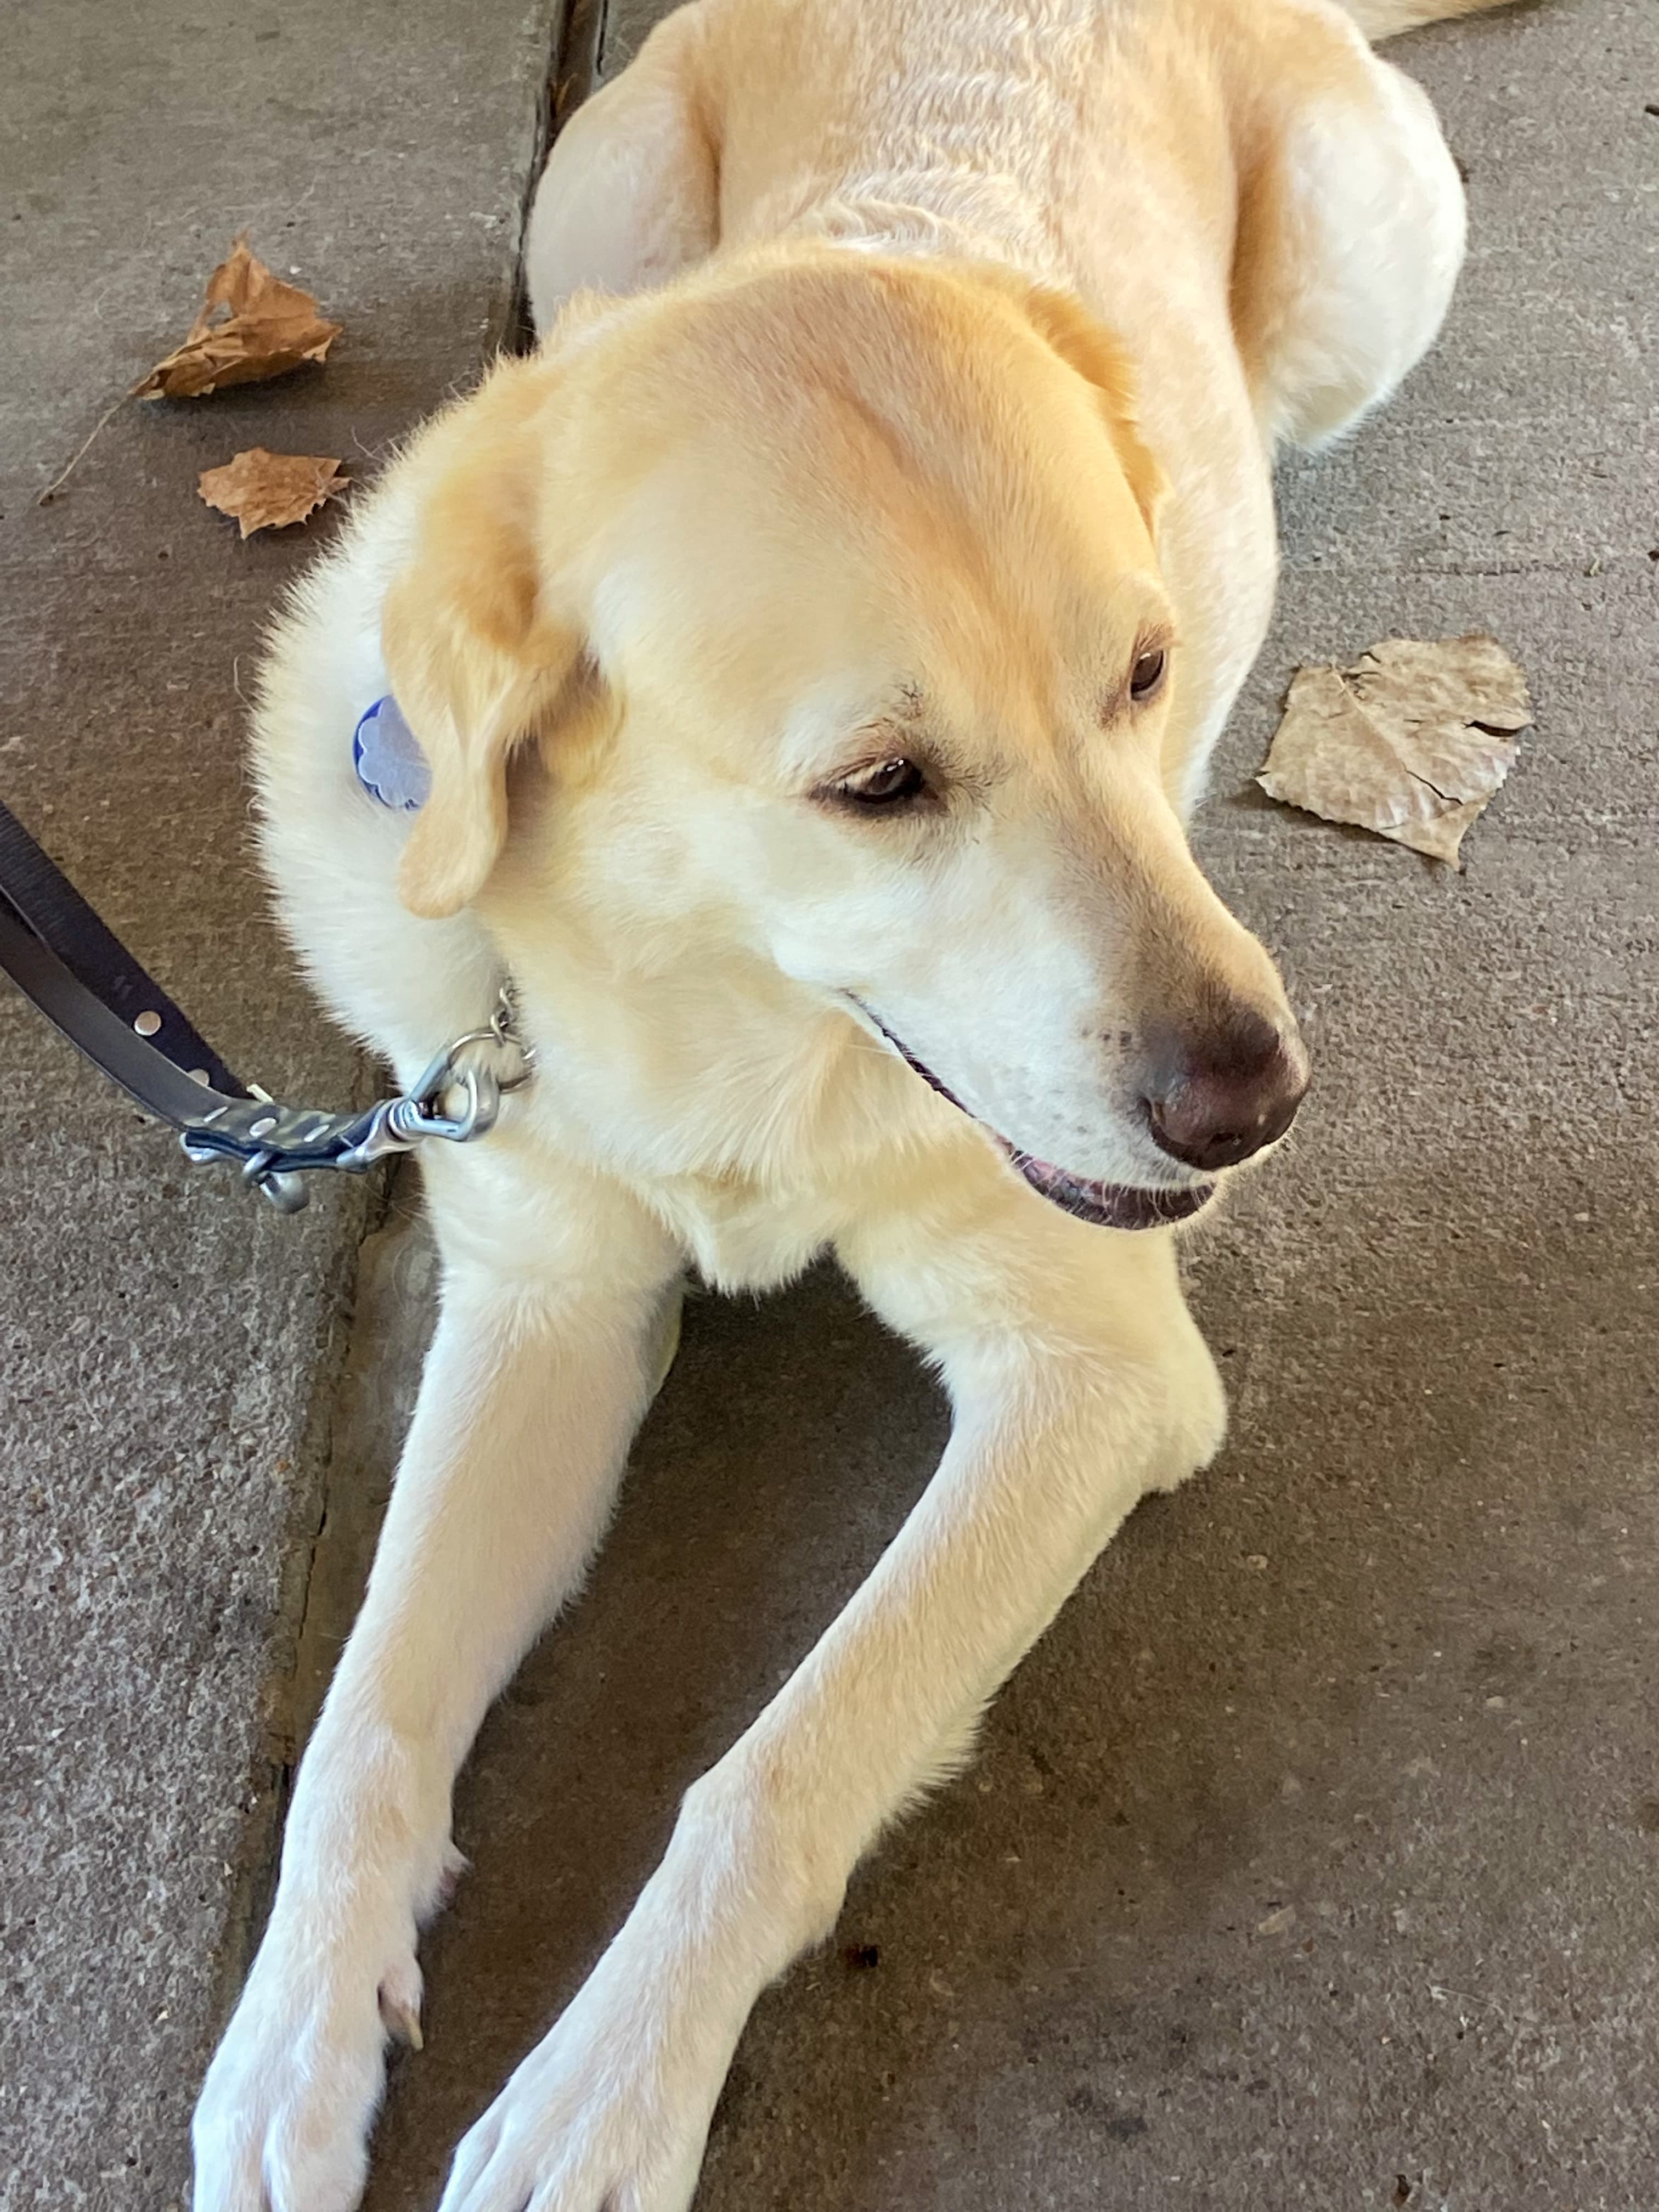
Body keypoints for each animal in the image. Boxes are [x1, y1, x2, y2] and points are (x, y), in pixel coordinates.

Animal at [188, 4, 1513, 2212]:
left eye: (1144, 674)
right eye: (877, 784)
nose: (1254, 1103)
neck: (723, 1016)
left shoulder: (1090, 1378)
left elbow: (776, 1763)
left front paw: (602, 2093)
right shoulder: (544, 1304)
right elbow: (370, 1709)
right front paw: (292, 2035)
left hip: (1367, 259)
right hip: (592, 197)